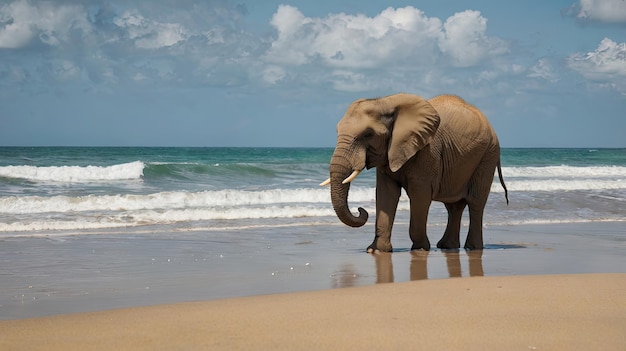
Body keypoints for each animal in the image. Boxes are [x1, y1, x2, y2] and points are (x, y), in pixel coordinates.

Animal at [320, 93, 504, 253]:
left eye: (368, 134)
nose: (360, 209)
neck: (385, 101)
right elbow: (386, 194)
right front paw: (376, 251)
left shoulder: (427, 152)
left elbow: (420, 195)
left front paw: (420, 249)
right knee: (454, 205)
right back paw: (447, 246)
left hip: (488, 155)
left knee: (475, 202)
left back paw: (472, 248)